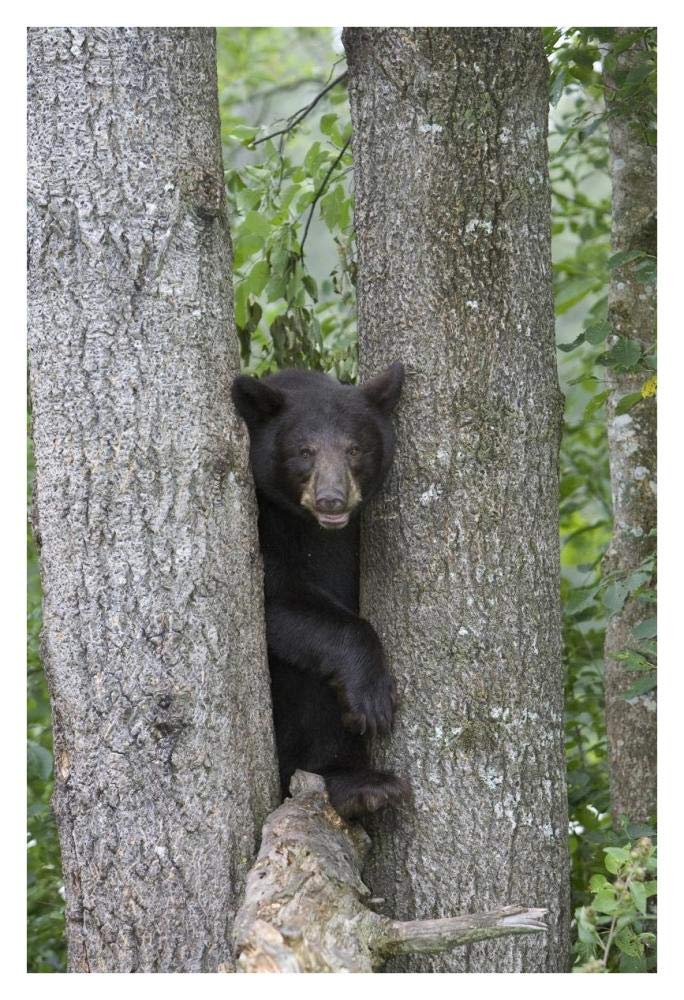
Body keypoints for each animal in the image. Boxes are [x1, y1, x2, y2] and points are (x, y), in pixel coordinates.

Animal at [231, 363, 409, 818]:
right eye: (305, 451)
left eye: (354, 449)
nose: (332, 499)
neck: (313, 528)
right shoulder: (263, 523)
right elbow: (277, 596)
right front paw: (372, 695)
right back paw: (354, 784)